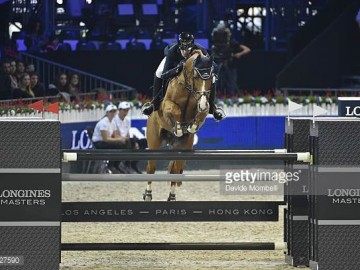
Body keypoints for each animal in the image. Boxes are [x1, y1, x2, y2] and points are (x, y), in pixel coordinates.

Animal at [143, 49, 215, 201]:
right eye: (196, 76)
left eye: (211, 78)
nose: (203, 103)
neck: (188, 87)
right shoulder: (167, 105)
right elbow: (175, 109)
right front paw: (179, 128)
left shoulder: (202, 107)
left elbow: (201, 114)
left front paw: (190, 127)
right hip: (154, 142)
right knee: (151, 168)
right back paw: (148, 194)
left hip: (183, 148)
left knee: (175, 171)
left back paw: (171, 197)